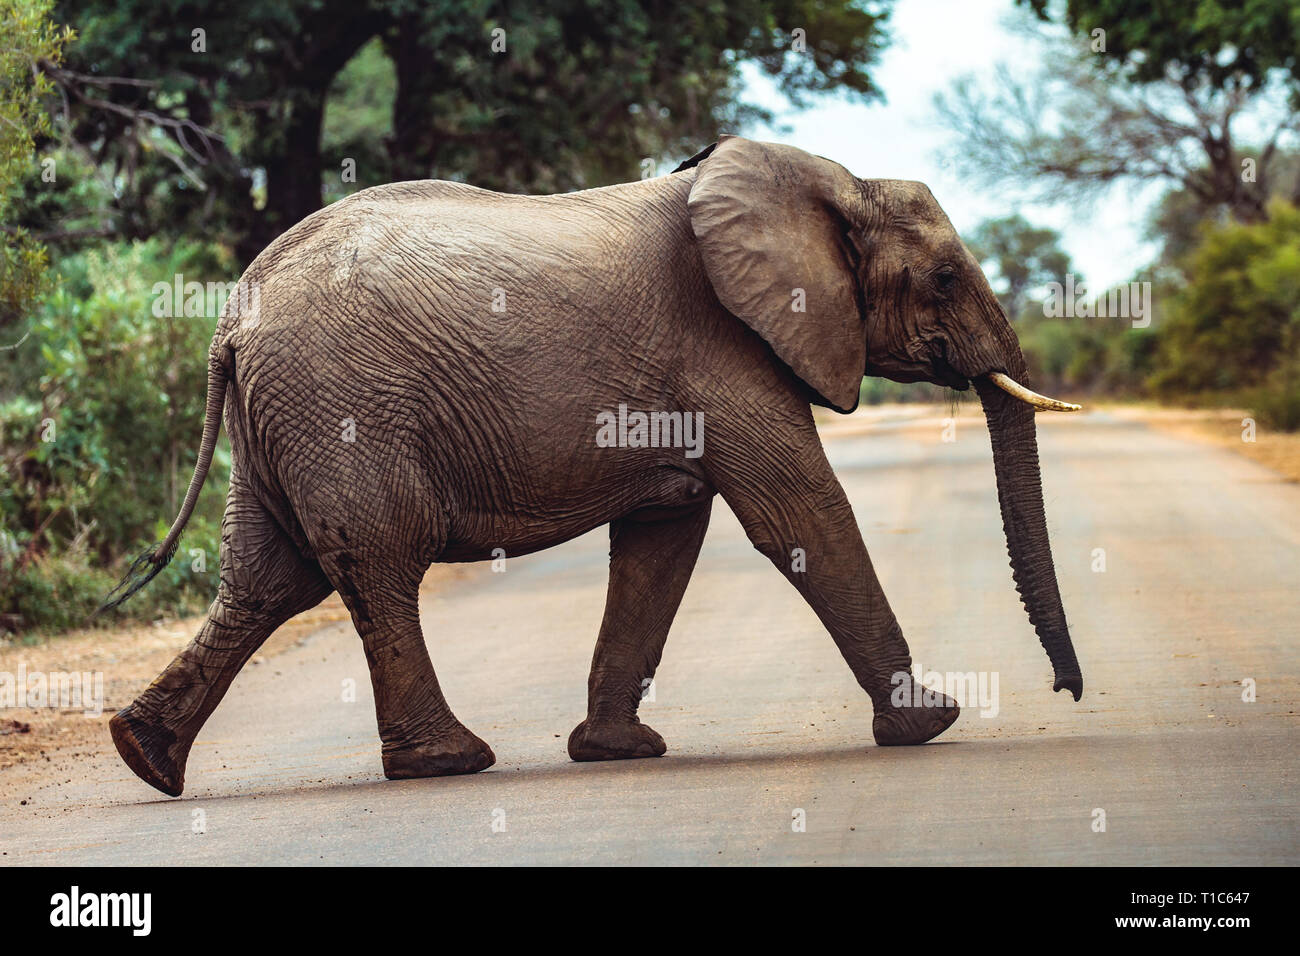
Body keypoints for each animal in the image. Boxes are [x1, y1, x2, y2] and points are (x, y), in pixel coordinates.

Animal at [101, 130, 1081, 796]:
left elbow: (663, 539)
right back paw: (449, 762)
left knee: (267, 580)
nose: (1069, 692)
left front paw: (616, 754)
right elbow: (800, 515)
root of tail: (231, 316)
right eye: (945, 278)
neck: (830, 179)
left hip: (281, 421)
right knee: (374, 561)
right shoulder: (723, 349)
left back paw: (143, 757)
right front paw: (931, 722)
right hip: (341, 407)